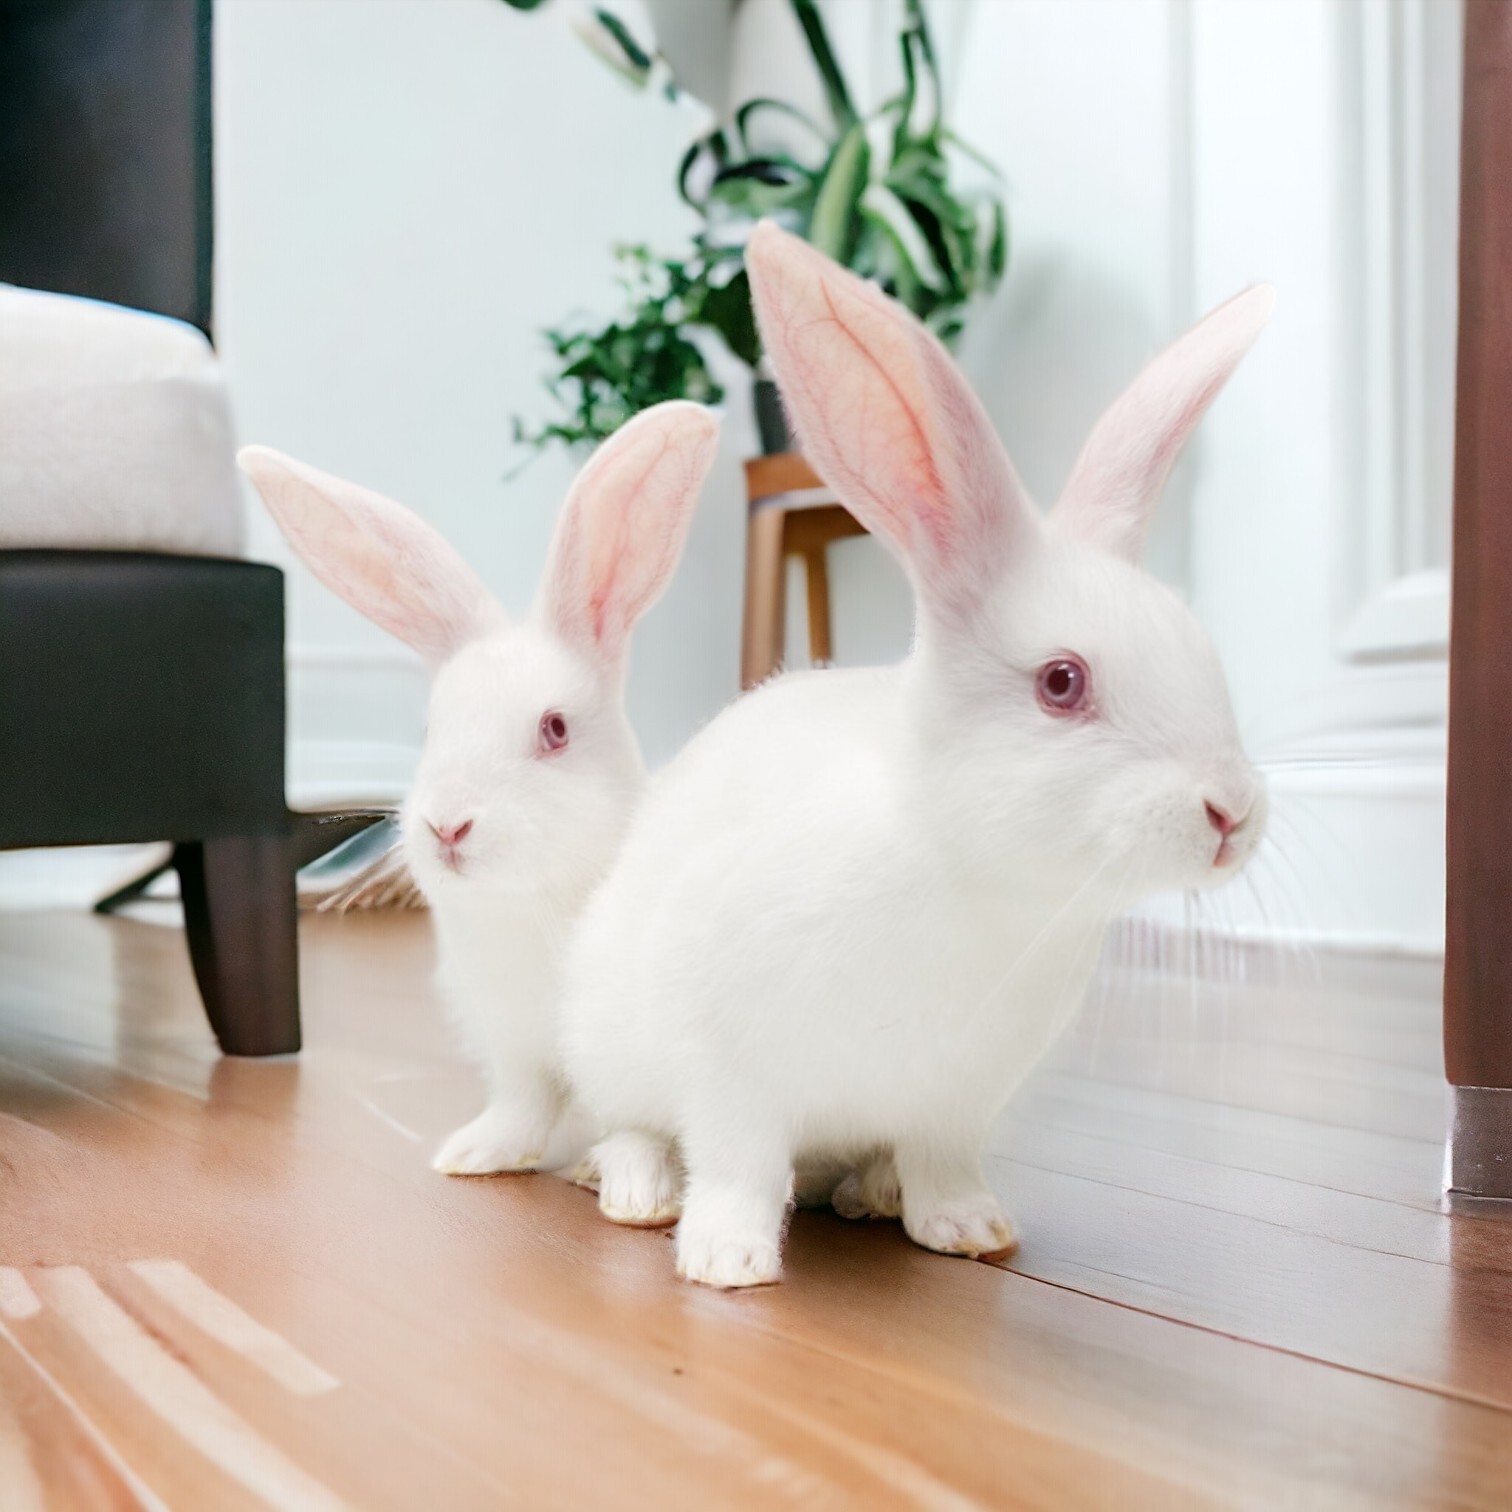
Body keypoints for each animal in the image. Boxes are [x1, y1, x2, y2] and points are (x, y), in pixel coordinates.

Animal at [237, 400, 719, 1177]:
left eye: (554, 728)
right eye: (430, 726)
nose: (448, 827)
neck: (529, 906)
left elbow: (644, 1126)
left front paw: (624, 1181)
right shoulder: (515, 1046)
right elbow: (524, 1106)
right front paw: (474, 1155)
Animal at [557, 222, 1273, 1288]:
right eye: (1062, 682)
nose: (1232, 814)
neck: (970, 872)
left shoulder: (958, 1102)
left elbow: (944, 1164)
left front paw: (970, 1231)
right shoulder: (733, 1064)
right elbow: (736, 1160)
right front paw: (729, 1260)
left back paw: (874, 1194)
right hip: (606, 1037)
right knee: (627, 1129)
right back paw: (644, 1198)